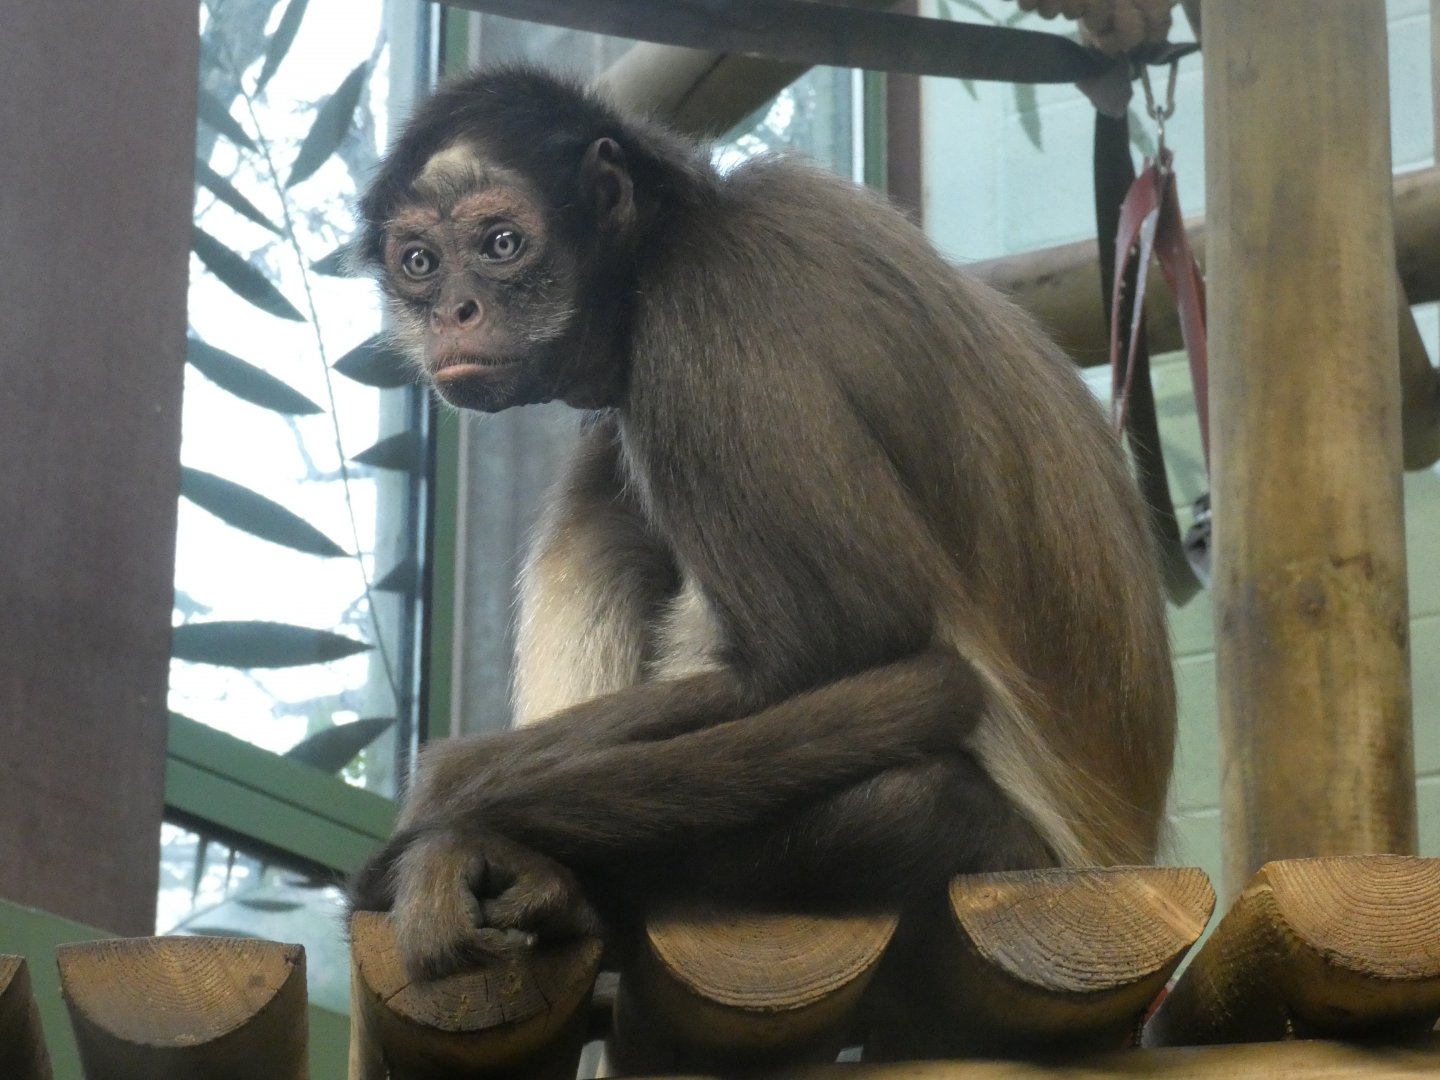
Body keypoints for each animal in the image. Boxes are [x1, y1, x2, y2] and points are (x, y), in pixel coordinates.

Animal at [348, 66, 1176, 984]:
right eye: (419, 263)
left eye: (501, 244)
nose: (453, 311)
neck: (684, 226)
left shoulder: (702, 308)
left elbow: (845, 645)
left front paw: (442, 803)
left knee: (893, 796)